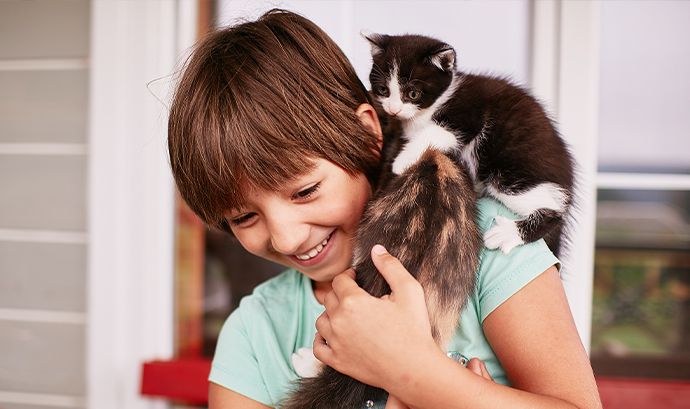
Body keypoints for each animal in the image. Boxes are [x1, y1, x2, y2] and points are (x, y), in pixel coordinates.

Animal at [366, 33, 576, 255]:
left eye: (413, 93)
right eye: (383, 90)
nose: (393, 109)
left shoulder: (468, 117)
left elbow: (433, 132)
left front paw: (402, 160)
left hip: (510, 170)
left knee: (552, 209)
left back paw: (508, 233)